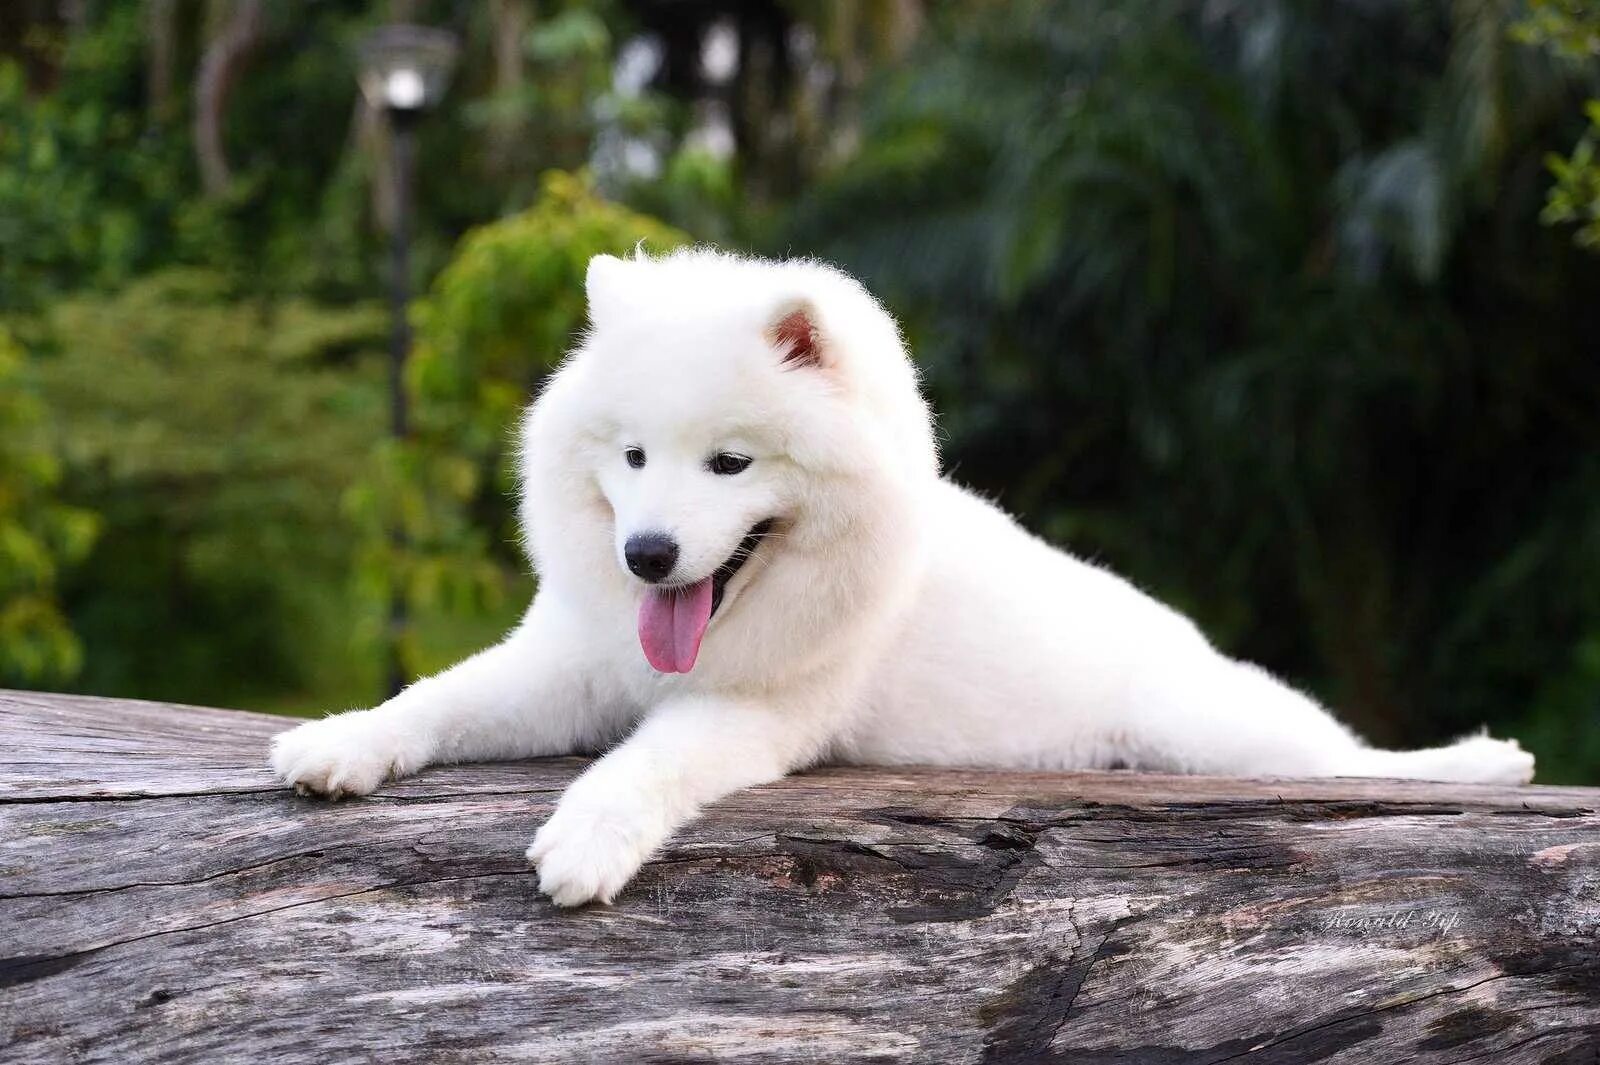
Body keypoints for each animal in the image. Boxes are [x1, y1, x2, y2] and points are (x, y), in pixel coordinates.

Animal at [275, 249, 1536, 901]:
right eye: (631, 459)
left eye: (731, 462)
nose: (648, 555)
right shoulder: (565, 667)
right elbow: (437, 698)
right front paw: (340, 740)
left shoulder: (757, 710)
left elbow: (645, 764)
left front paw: (587, 839)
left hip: (1218, 732)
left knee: (1350, 759)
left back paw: (1481, 761)